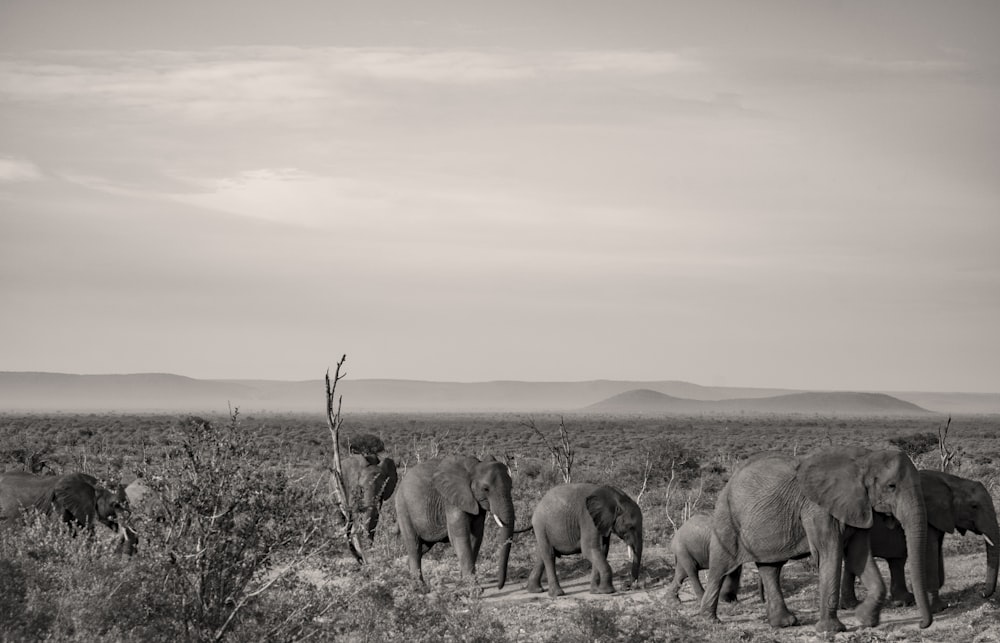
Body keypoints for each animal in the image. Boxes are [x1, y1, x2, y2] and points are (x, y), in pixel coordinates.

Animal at [392, 452, 512, 588]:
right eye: (486, 489)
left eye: (511, 486)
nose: (499, 587)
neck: (474, 467)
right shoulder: (451, 500)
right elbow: (459, 536)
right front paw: (474, 588)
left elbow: (476, 536)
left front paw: (463, 583)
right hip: (403, 508)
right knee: (414, 546)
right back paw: (420, 588)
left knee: (423, 547)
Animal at [700, 448, 932, 632]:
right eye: (891, 486)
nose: (922, 624)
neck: (862, 458)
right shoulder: (817, 509)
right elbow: (829, 554)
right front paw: (832, 630)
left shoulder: (857, 507)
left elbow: (859, 557)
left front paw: (865, 619)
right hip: (727, 519)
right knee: (720, 567)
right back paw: (710, 621)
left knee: (770, 567)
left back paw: (784, 623)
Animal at [840, 470, 996, 612]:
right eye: (974, 506)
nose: (982, 593)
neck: (952, 482)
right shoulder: (928, 515)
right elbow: (930, 553)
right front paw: (939, 608)